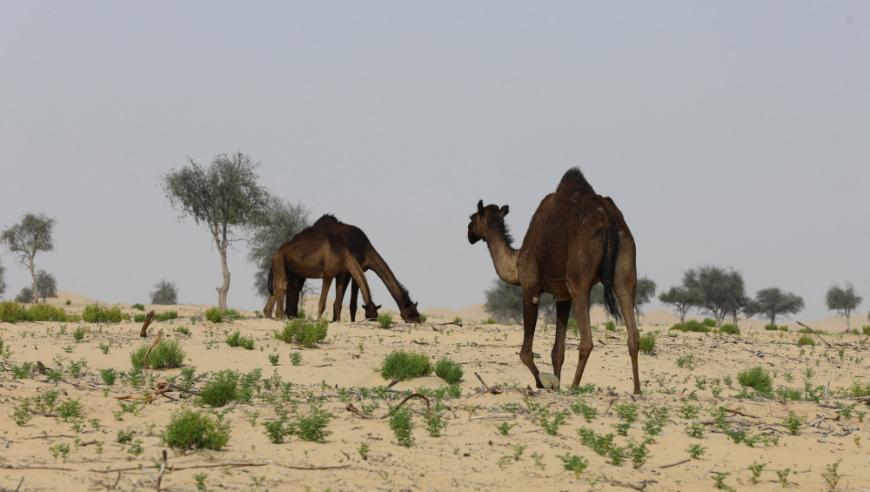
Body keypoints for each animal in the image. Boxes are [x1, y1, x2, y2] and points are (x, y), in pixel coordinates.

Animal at [466, 168, 644, 392]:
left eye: (472, 217)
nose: (469, 233)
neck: (515, 261)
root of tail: (608, 221)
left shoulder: (530, 286)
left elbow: (525, 353)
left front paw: (543, 383)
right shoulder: (562, 296)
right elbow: (557, 351)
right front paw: (556, 384)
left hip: (579, 279)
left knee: (587, 340)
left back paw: (575, 387)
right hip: (625, 263)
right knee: (633, 330)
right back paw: (637, 390)